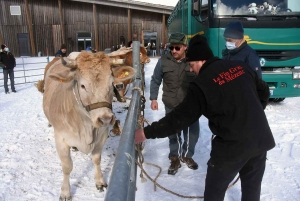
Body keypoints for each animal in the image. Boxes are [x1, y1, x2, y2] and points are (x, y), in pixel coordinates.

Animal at [42, 50, 135, 199]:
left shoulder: (102, 135)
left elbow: (96, 159)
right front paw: (65, 192)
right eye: (83, 86)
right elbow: (67, 166)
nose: (106, 119)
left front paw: (100, 181)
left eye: (111, 83)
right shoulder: (60, 139)